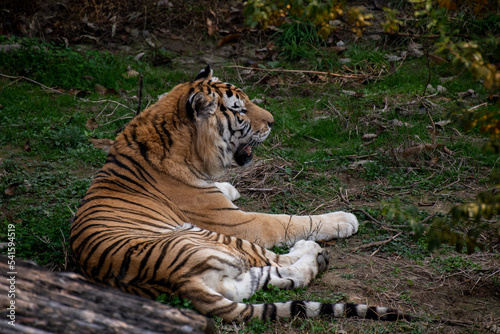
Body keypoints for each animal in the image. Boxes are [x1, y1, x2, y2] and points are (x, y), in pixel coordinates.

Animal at [71, 65, 414, 324]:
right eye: (241, 110)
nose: (273, 122)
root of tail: (178, 281)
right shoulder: (237, 222)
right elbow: (288, 221)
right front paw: (344, 219)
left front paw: (230, 187)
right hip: (211, 236)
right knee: (279, 258)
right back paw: (312, 248)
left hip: (230, 273)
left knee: (281, 277)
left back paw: (314, 260)